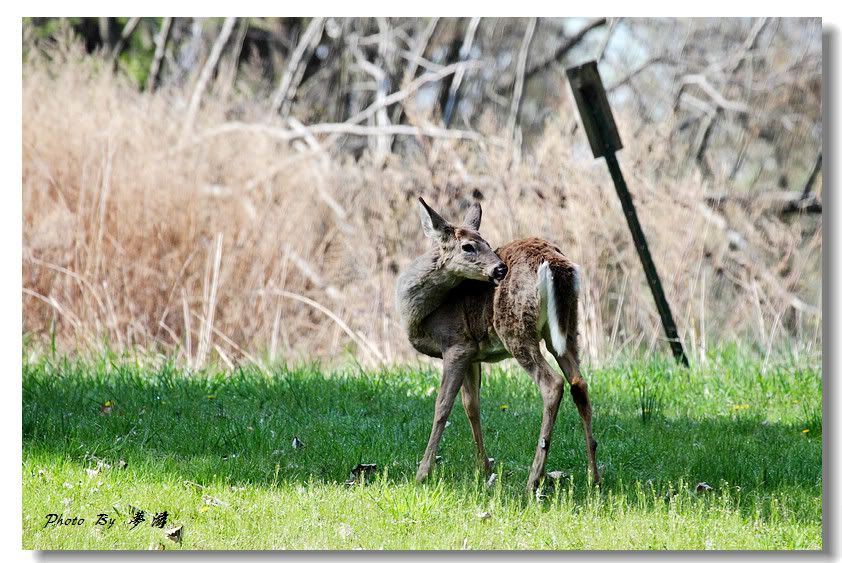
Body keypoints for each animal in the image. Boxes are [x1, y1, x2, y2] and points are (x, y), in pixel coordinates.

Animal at [396, 197, 596, 494]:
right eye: (468, 246)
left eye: (488, 243)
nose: (499, 268)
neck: (424, 315)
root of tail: (553, 261)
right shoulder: (472, 353)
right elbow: (471, 405)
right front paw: (485, 468)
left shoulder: (456, 345)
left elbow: (442, 406)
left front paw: (422, 473)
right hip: (567, 328)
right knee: (579, 384)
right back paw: (595, 476)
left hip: (515, 329)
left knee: (553, 384)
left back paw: (533, 480)